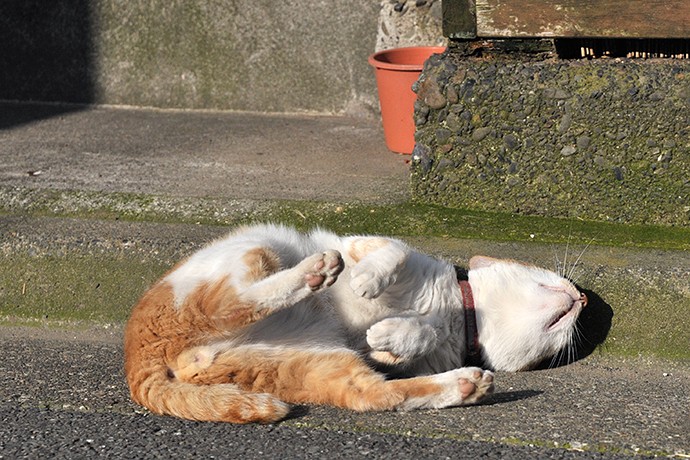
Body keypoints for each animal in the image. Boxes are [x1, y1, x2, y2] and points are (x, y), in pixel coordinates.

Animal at [123, 223, 584, 424]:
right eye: (553, 278)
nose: (582, 300)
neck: (455, 311)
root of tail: (137, 358)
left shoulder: (388, 351)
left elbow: (406, 341)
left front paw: (395, 334)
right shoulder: (366, 243)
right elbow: (393, 254)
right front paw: (368, 282)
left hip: (322, 364)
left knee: (377, 396)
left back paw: (467, 385)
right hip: (255, 248)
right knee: (232, 303)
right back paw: (316, 271)